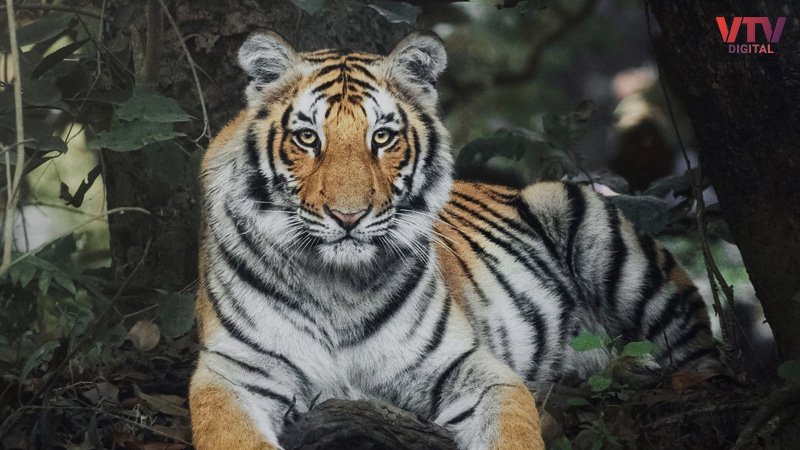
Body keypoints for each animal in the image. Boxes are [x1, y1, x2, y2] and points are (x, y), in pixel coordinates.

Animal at [189, 30, 722, 450]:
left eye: (381, 137)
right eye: (307, 138)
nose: (348, 216)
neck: (336, 284)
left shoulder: (465, 365)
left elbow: (513, 433)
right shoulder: (235, 373)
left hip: (597, 229)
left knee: (699, 357)